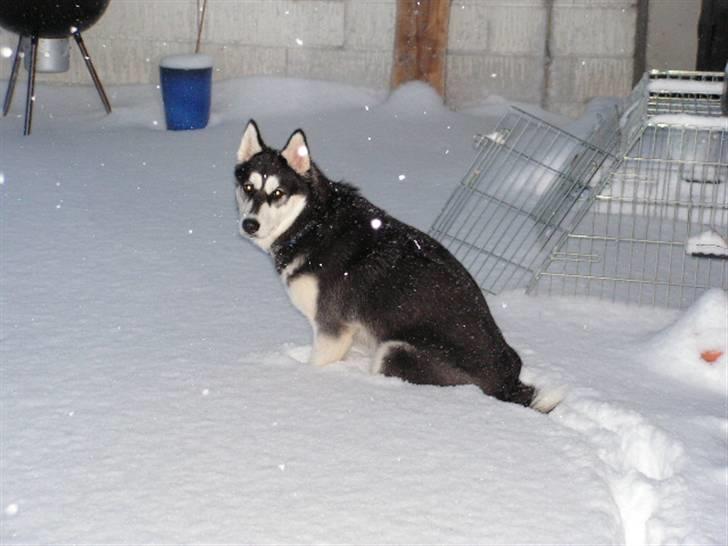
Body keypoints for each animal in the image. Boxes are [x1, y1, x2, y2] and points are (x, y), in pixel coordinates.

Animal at [233, 119, 556, 408]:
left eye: (277, 193)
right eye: (248, 187)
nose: (250, 224)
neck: (311, 224)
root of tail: (506, 382)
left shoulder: (331, 330)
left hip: (394, 350)